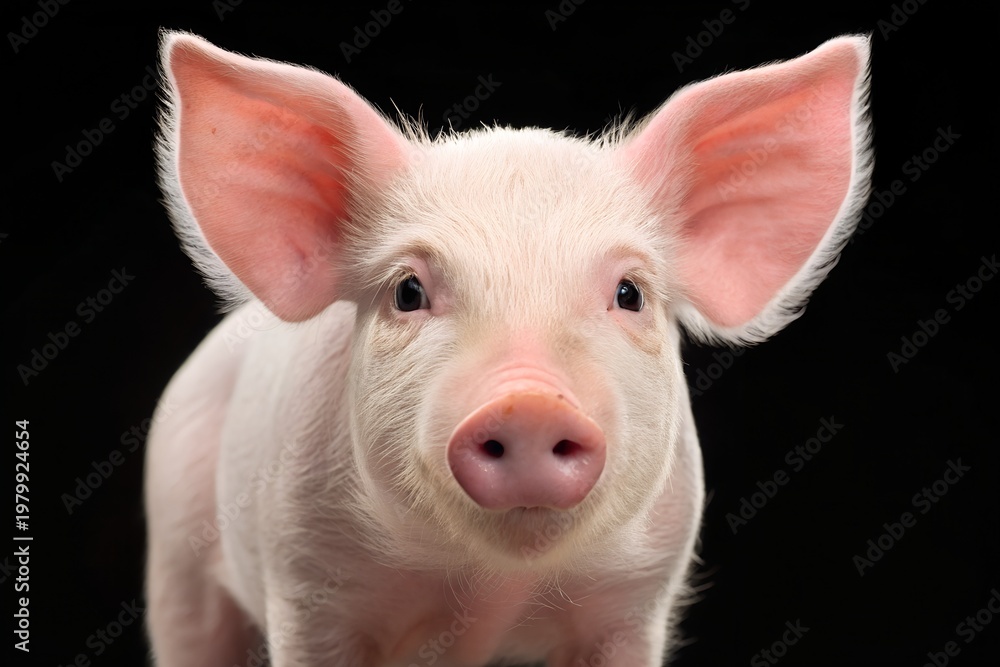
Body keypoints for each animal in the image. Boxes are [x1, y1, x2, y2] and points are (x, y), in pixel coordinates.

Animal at [145, 30, 872, 666]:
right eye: (408, 290)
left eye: (629, 293)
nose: (530, 403)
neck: (489, 587)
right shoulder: (306, 581)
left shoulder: (637, 597)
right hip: (176, 548)